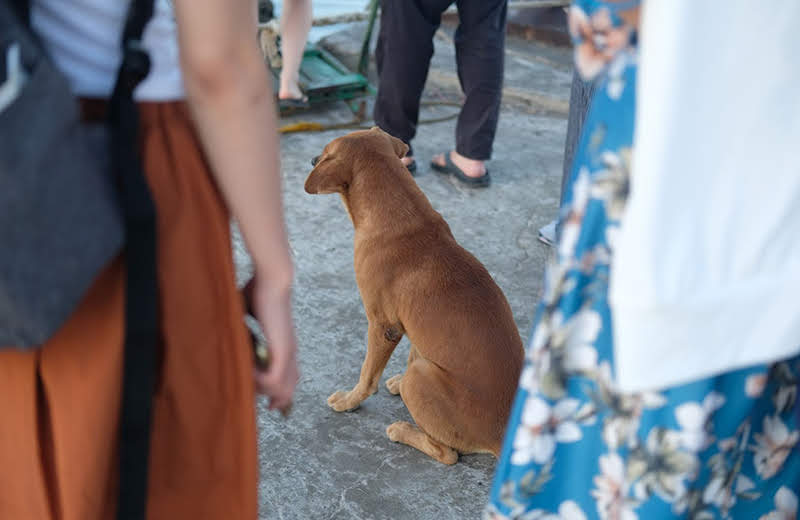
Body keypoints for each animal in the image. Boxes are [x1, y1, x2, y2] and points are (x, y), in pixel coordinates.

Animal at [304, 127, 520, 464]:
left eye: (326, 154)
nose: (312, 159)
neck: (405, 219)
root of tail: (501, 438)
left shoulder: (383, 326)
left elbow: (367, 376)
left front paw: (349, 401)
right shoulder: (408, 325)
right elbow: (413, 349)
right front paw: (394, 380)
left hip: (422, 378)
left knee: (448, 454)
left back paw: (403, 429)